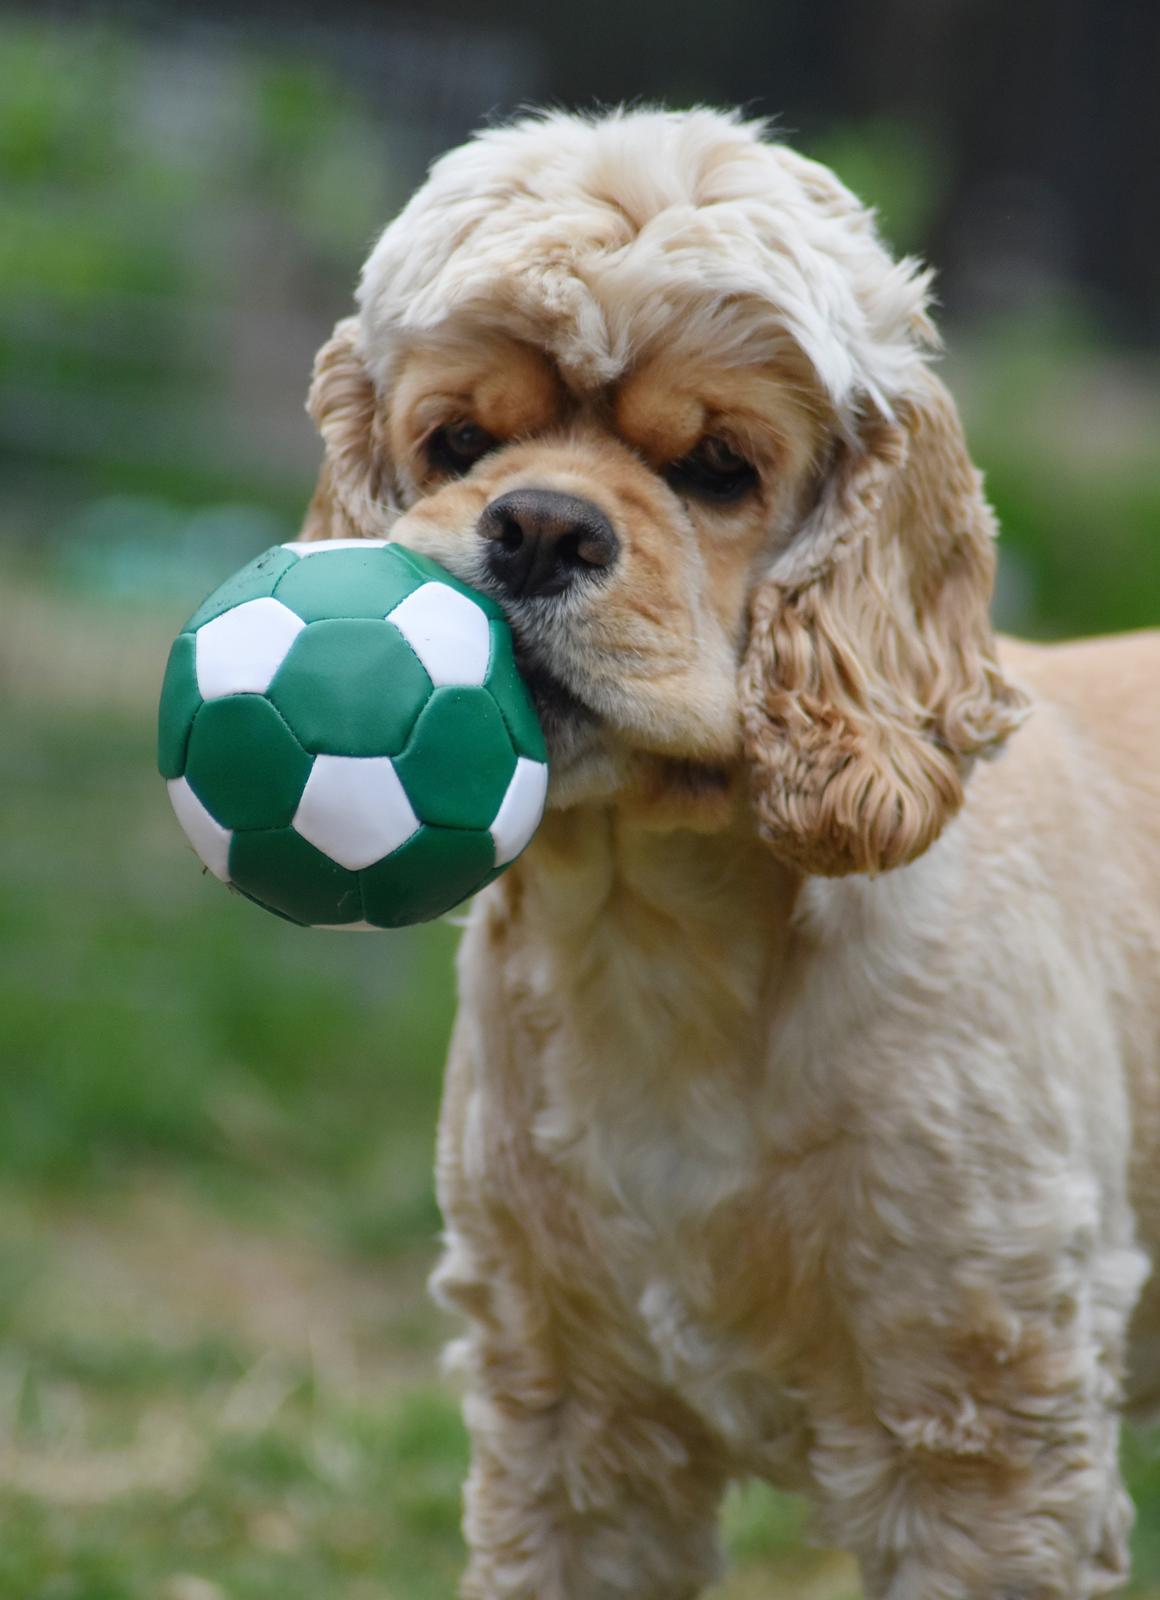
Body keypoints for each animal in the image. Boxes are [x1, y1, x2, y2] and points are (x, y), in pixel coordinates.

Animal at [296, 106, 1158, 1593]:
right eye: (458, 440)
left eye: (718, 471)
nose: (537, 526)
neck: (662, 936)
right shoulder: (566, 1418)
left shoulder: (987, 1431)